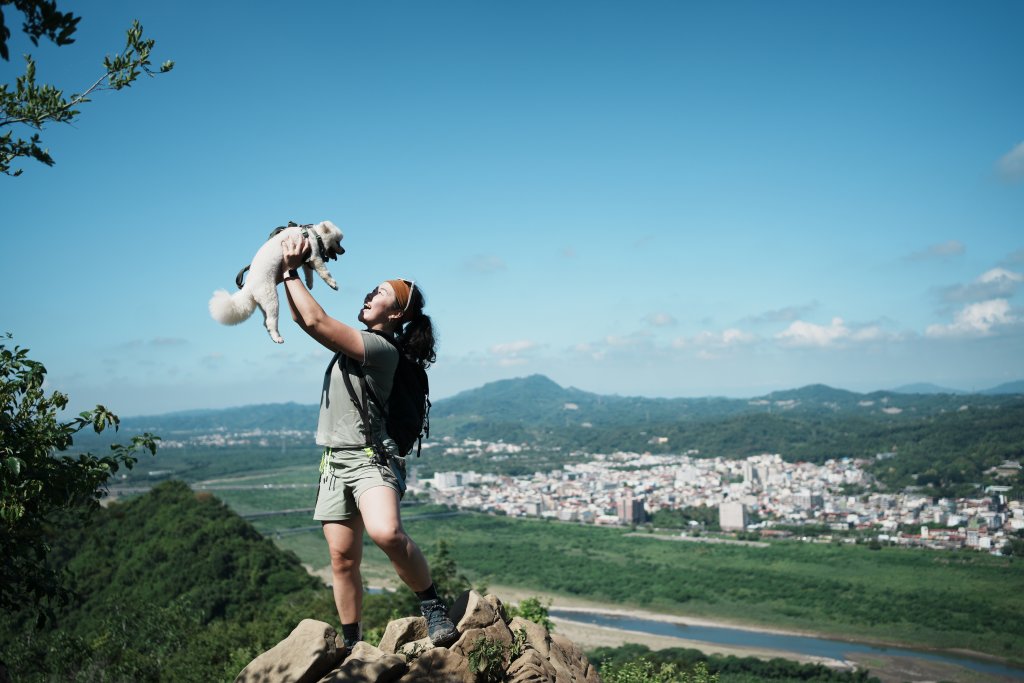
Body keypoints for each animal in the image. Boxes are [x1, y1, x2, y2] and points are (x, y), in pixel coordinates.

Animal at [207, 222, 344, 344]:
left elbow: (308, 272)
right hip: (271, 299)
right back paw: (277, 337)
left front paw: (309, 283)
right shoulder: (315, 257)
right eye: (338, 242)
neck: (312, 234)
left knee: (265, 322)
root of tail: (248, 287)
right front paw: (333, 284)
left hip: (264, 304)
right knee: (270, 321)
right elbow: (324, 272)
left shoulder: (305, 258)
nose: (344, 250)